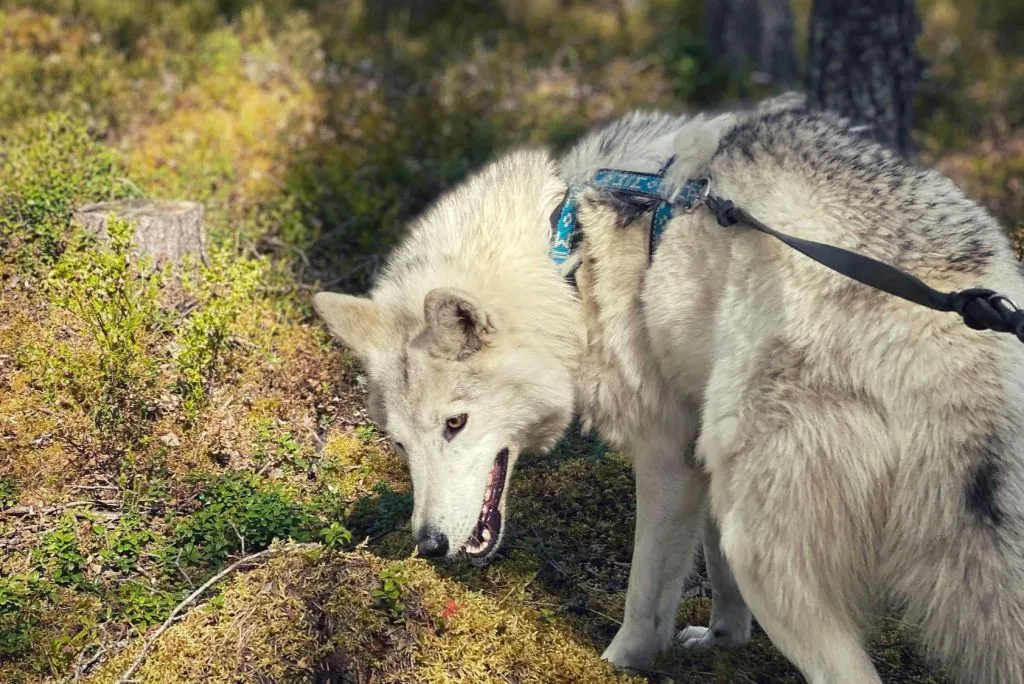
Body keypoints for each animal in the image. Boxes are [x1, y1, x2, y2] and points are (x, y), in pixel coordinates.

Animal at [313, 93, 1024, 683]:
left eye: (454, 425)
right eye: (400, 445)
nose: (428, 545)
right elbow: (717, 574)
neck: (570, 259)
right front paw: (723, 639)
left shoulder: (665, 454)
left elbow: (646, 591)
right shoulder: (697, 438)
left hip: (763, 537)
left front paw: (621, 660)